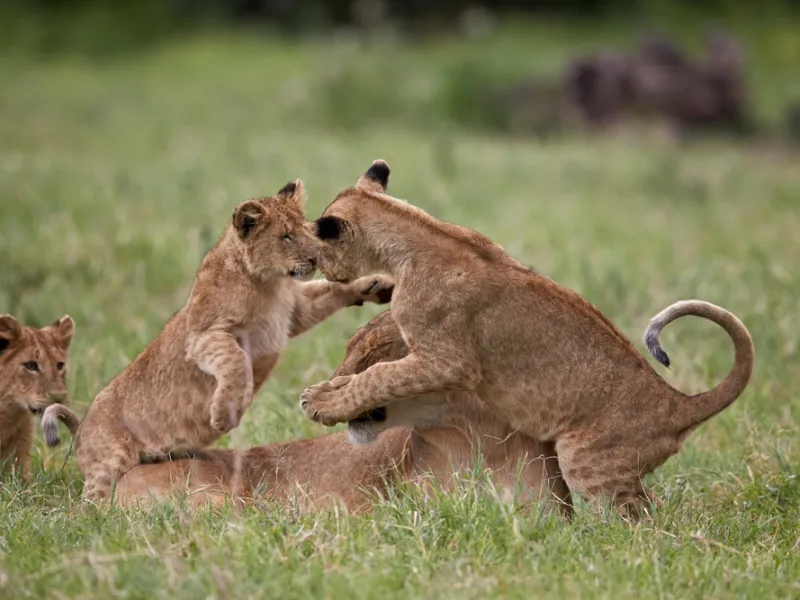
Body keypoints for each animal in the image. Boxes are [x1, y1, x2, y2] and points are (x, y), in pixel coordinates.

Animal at [75, 180, 394, 502]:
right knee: (87, 501)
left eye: (307, 230)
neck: (268, 283)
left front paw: (378, 284)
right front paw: (224, 414)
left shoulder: (295, 312)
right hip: (109, 461)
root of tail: (81, 428)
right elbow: (236, 361)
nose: (315, 258)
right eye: (286, 236)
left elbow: (329, 290)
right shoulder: (205, 335)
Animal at [299, 159, 755, 519]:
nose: (322, 270)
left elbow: (380, 377)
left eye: (320, 249)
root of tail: (677, 404)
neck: (420, 235)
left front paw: (321, 400)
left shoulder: (448, 360)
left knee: (639, 521)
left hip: (587, 460)